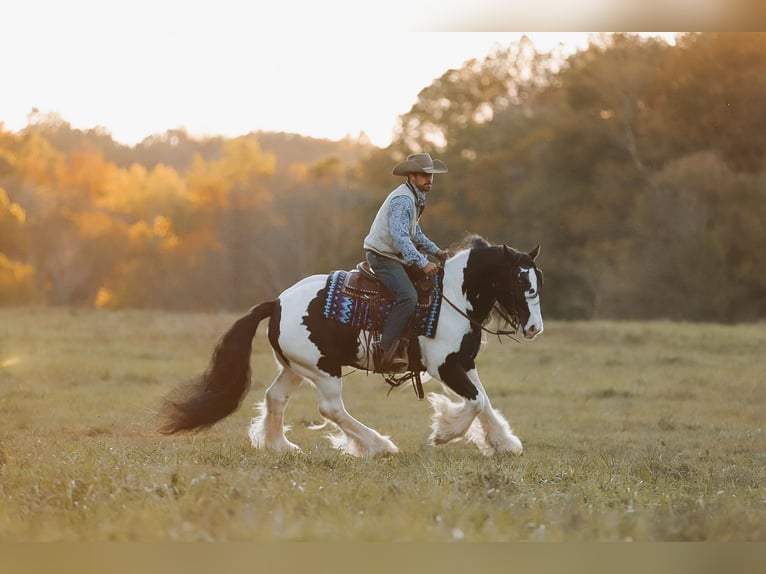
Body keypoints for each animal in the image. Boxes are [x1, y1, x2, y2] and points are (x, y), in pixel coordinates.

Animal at [159, 234, 544, 460]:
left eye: (537, 280)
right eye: (520, 281)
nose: (534, 328)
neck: (451, 298)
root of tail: (277, 303)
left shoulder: (464, 362)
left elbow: (484, 400)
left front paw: (504, 443)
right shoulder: (444, 365)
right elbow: (475, 402)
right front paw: (445, 432)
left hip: (296, 368)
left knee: (275, 397)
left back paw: (281, 445)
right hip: (324, 371)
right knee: (331, 409)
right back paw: (378, 445)